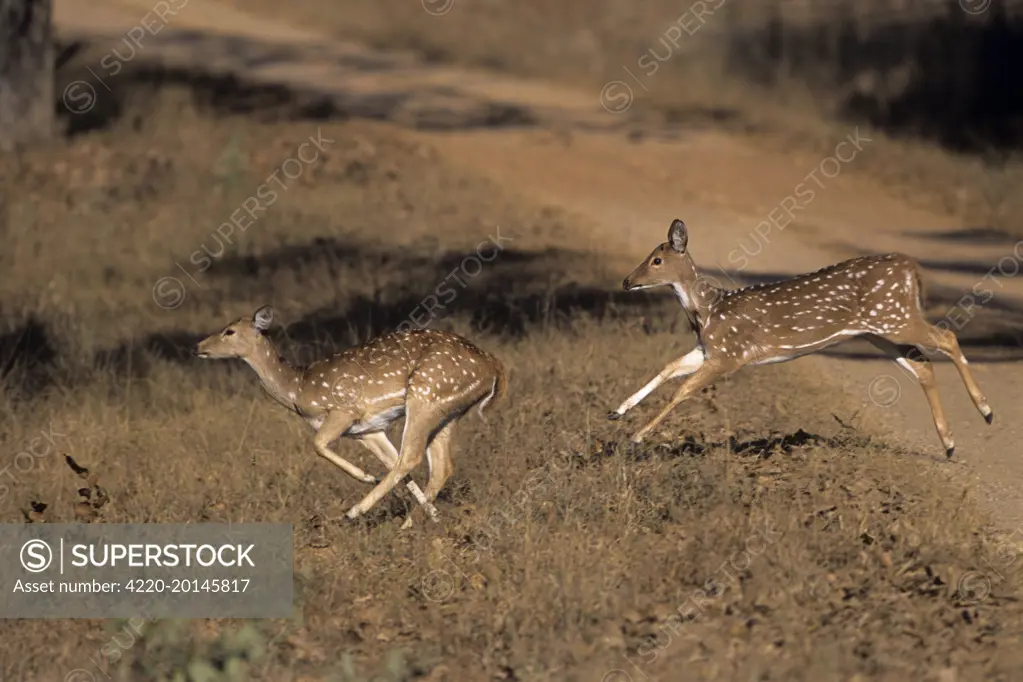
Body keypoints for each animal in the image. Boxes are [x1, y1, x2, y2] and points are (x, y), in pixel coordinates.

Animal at [193, 306, 505, 527]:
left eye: (229, 331)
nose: (198, 347)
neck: (298, 388)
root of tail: (494, 367)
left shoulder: (344, 410)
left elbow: (317, 445)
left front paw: (366, 477)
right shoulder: (367, 430)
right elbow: (392, 463)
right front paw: (429, 513)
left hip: (426, 394)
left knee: (412, 457)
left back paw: (356, 512)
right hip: (448, 410)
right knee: (439, 466)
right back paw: (417, 522)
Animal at [605, 218, 990, 458]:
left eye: (656, 260)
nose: (626, 281)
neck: (708, 310)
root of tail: (913, 269)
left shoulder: (730, 353)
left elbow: (683, 389)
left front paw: (636, 436)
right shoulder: (709, 349)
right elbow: (669, 367)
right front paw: (617, 411)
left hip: (895, 317)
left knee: (947, 336)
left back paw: (985, 410)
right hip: (879, 330)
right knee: (923, 364)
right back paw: (949, 444)